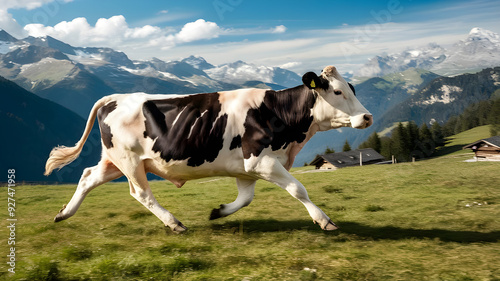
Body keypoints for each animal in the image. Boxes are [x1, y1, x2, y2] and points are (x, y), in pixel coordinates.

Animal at [45, 65, 372, 232]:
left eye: (353, 89)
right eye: (338, 92)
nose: (367, 117)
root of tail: (115, 97)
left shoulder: (247, 168)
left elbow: (245, 198)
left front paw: (219, 212)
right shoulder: (261, 161)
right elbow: (298, 189)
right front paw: (324, 220)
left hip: (114, 160)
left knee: (88, 176)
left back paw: (63, 214)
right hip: (129, 160)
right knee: (140, 193)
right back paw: (174, 223)